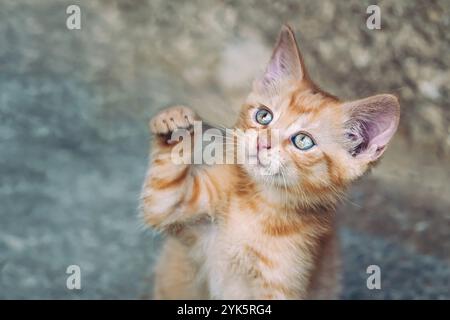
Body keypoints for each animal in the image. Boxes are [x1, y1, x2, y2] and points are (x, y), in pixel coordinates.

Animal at [140, 25, 398, 300]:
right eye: (263, 116)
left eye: (303, 141)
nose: (262, 143)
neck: (258, 205)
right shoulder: (173, 210)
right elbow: (163, 196)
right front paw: (173, 121)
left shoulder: (282, 285)